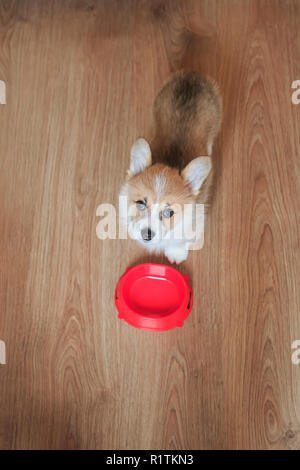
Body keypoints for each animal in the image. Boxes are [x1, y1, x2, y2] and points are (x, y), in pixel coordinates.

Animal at [120, 70, 223, 264]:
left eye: (169, 212)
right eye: (140, 203)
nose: (146, 234)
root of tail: (193, 74)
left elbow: (181, 239)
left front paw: (176, 253)